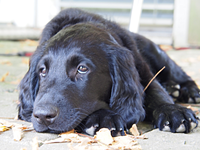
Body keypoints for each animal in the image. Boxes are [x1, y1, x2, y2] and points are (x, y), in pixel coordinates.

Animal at [18, 8, 199, 137]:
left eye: (82, 68)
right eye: (42, 70)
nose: (42, 116)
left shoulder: (143, 70)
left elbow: (156, 92)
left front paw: (173, 110)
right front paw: (103, 117)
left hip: (157, 54)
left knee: (179, 74)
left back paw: (188, 92)